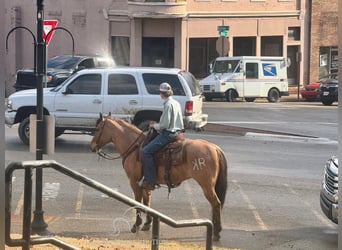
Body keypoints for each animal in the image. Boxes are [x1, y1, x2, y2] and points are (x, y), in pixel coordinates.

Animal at [91, 115, 228, 240]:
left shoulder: (134, 182)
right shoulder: (145, 183)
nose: (92, 146)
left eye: (97, 129)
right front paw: (147, 224)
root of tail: (215, 148)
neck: (135, 147)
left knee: (216, 204)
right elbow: (147, 202)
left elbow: (138, 202)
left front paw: (136, 225)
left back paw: (216, 232)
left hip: (206, 185)